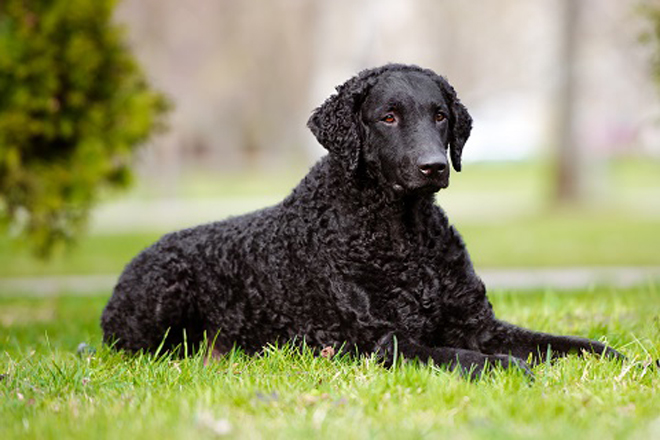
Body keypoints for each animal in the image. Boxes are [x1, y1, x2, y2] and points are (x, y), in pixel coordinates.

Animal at [100, 63, 620, 376]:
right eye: (388, 117)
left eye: (440, 115)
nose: (434, 166)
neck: (405, 236)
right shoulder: (381, 341)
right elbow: (462, 355)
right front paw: (510, 368)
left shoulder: (481, 325)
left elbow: (566, 343)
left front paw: (619, 358)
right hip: (164, 292)